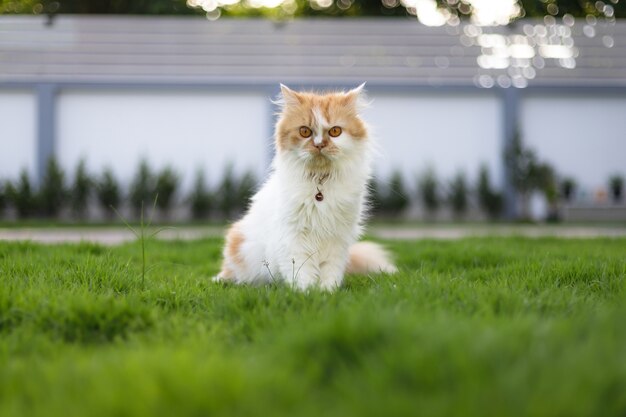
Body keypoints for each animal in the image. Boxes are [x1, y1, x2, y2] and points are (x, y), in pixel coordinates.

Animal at [214, 82, 394, 290]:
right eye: (305, 131)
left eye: (335, 131)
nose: (319, 145)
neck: (320, 182)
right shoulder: (293, 237)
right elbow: (301, 271)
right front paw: (306, 292)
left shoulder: (336, 240)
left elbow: (329, 273)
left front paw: (327, 292)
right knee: (231, 274)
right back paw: (223, 280)